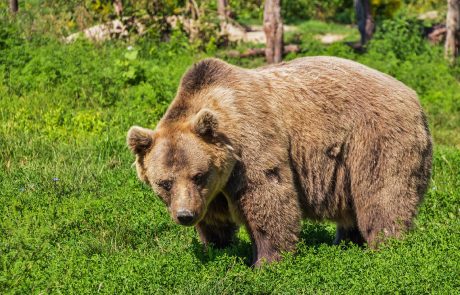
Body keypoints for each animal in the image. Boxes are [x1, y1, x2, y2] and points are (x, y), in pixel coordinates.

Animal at [126, 56, 432, 268]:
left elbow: (268, 198)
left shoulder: (251, 145)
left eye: (198, 175)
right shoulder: (213, 190)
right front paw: (217, 247)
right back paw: (345, 242)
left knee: (382, 195)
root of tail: (414, 96)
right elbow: (214, 220)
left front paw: (266, 261)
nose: (185, 215)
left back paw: (386, 246)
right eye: (164, 183)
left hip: (375, 138)